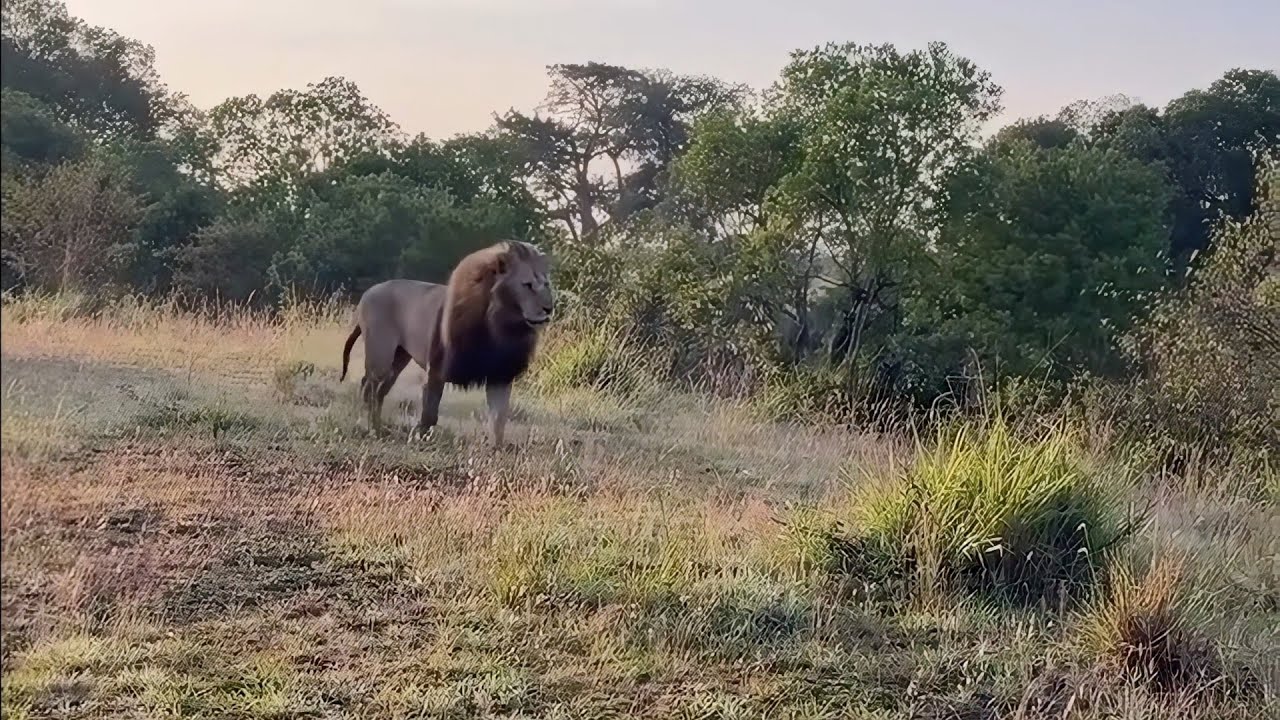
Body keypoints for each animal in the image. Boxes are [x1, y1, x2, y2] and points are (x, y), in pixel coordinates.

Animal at [339, 240, 554, 446]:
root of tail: (369, 291)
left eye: (546, 284)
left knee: (379, 392)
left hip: (398, 358)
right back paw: (369, 428)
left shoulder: (500, 376)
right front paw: (420, 440)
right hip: (381, 355)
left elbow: (498, 419)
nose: (549, 308)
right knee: (369, 387)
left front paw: (497, 449)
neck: (499, 326)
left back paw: (378, 428)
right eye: (527, 285)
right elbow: (429, 413)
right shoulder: (437, 369)